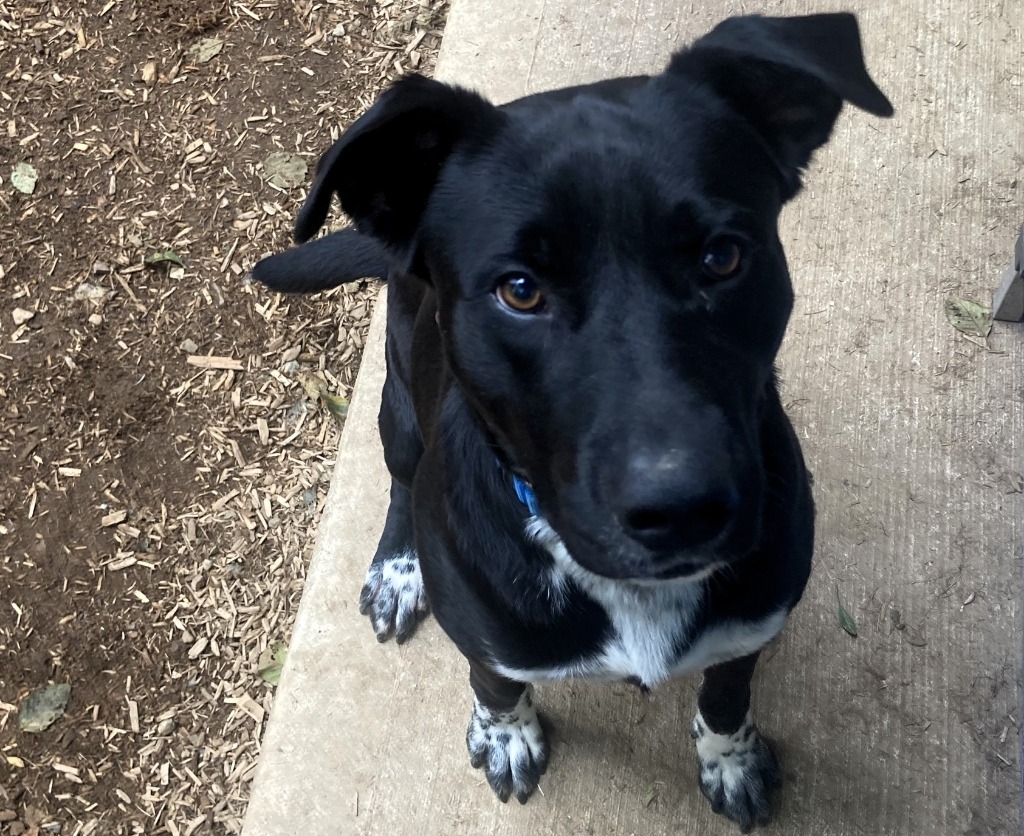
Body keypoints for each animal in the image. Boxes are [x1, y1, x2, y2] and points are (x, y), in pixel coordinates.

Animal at [251, 13, 892, 827]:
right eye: (520, 290)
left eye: (722, 257)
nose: (681, 509)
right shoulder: (488, 638)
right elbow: (494, 682)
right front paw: (505, 733)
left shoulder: (752, 626)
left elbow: (726, 694)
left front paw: (731, 758)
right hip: (398, 406)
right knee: (400, 480)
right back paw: (399, 570)